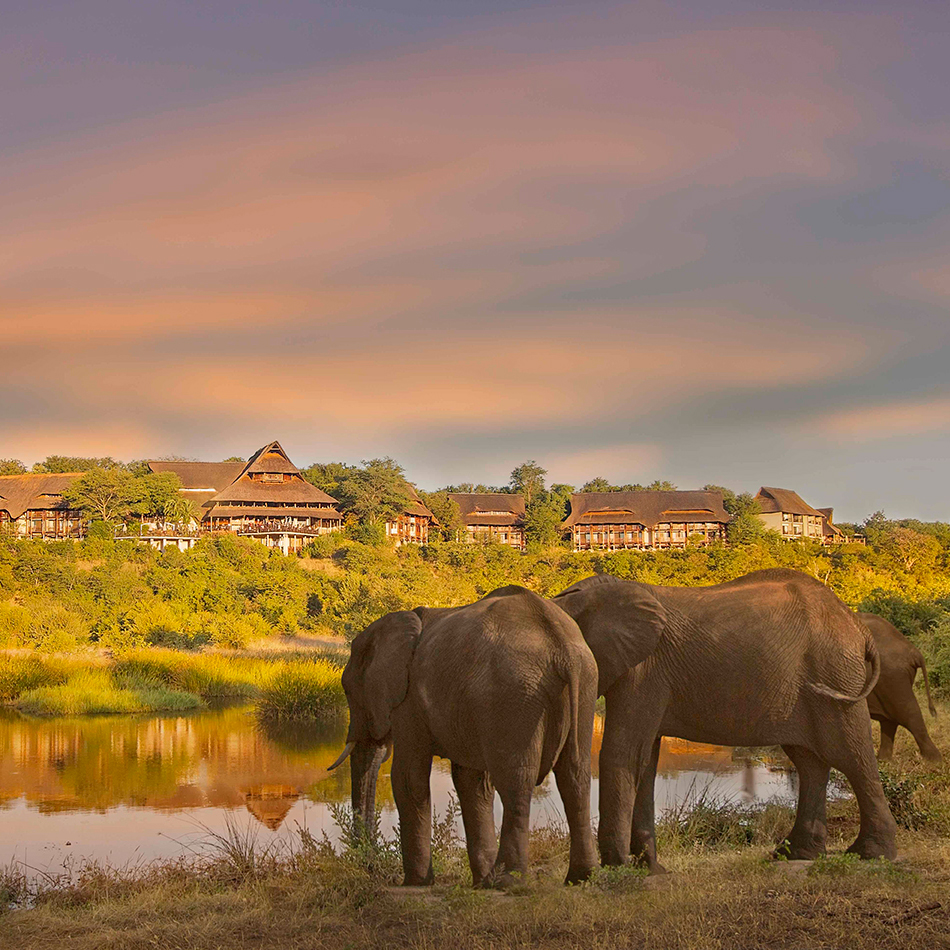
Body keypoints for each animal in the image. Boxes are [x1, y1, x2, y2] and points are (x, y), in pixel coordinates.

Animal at [327, 585, 600, 887]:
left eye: (348, 690)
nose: (371, 865)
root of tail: (562, 648)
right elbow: (472, 782)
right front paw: (481, 882)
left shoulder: (408, 702)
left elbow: (408, 778)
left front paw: (416, 882)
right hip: (584, 685)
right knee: (575, 777)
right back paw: (580, 877)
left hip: (515, 693)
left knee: (516, 782)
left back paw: (508, 881)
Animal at [552, 568, 898, 871]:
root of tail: (858, 626)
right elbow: (645, 760)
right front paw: (650, 869)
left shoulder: (644, 672)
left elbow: (622, 754)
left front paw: (619, 868)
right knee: (810, 763)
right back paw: (796, 854)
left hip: (835, 674)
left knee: (852, 755)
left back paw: (872, 853)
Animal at [858, 612, 941, 764]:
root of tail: (915, 652)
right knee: (890, 721)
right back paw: (883, 761)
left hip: (893, 677)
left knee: (909, 715)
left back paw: (934, 762)